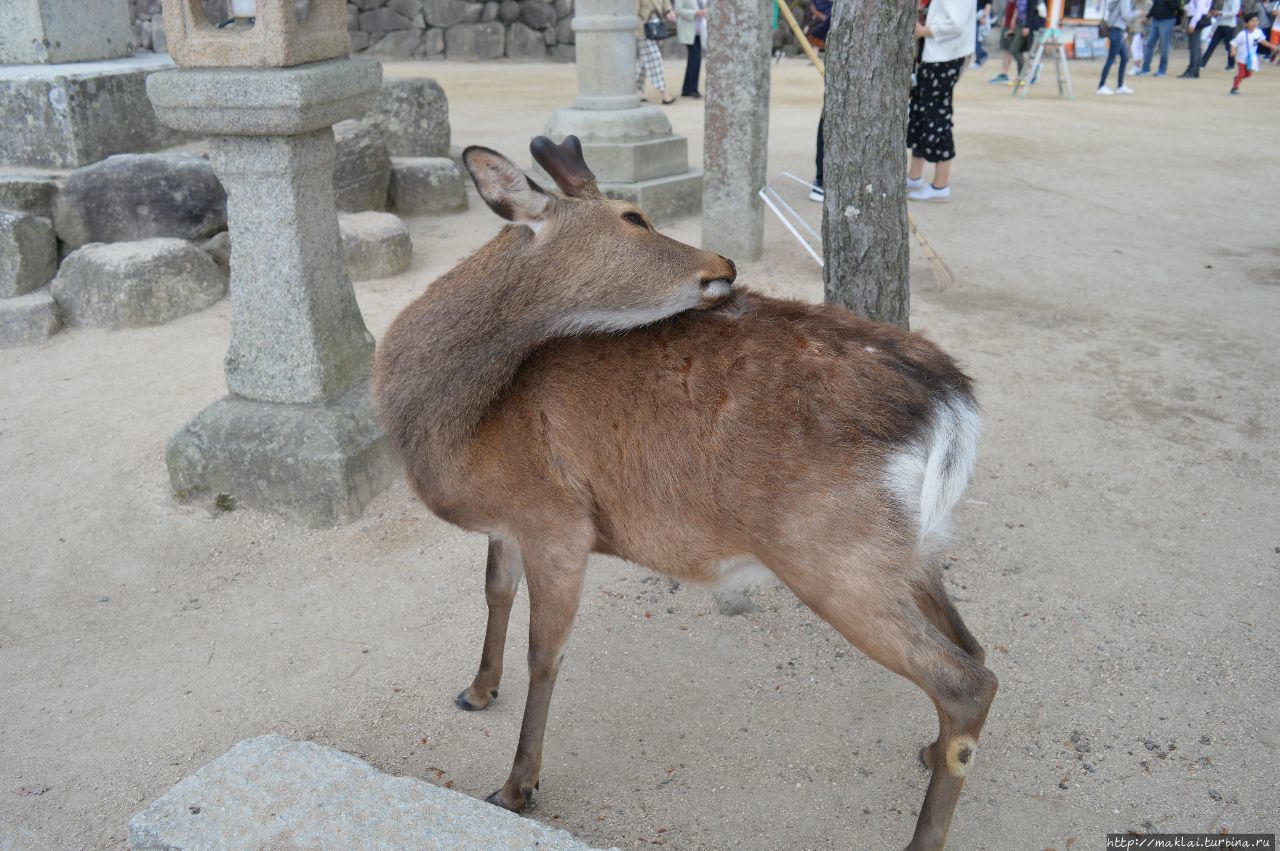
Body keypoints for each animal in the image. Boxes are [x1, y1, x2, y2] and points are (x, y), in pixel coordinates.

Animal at [373, 136, 993, 844]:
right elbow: (494, 593)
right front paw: (475, 692)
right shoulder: (510, 522)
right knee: (973, 645)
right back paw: (928, 749)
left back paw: (921, 836)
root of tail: (955, 401)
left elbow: (545, 652)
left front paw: (515, 786)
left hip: (833, 555)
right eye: (633, 217)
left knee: (966, 679)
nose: (723, 264)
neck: (464, 433)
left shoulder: (558, 519)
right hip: (910, 547)